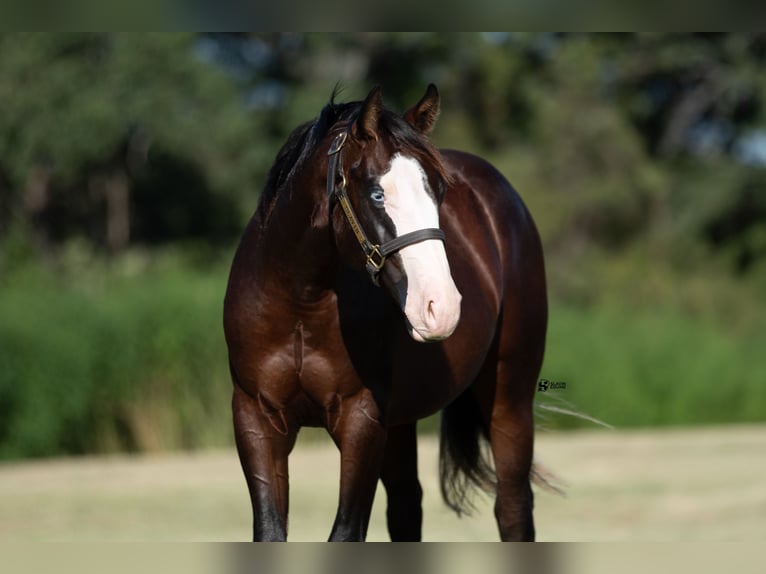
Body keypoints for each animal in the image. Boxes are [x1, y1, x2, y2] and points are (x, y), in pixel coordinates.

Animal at [225, 85, 548, 544]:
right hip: (400, 424)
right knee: (407, 507)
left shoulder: (361, 422)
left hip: (510, 398)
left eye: (440, 192)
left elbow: (345, 532)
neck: (301, 304)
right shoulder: (257, 419)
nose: (441, 307)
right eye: (377, 193)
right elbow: (270, 530)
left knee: (513, 507)